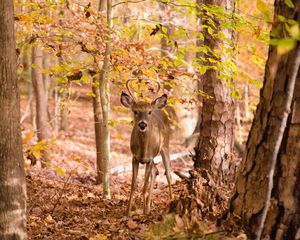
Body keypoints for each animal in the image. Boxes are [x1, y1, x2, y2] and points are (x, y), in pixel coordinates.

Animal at [120, 79, 172, 216]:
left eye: (149, 112)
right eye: (135, 111)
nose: (142, 124)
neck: (143, 150)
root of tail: (158, 108)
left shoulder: (150, 158)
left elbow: (144, 187)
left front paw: (144, 213)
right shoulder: (134, 158)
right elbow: (134, 186)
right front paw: (128, 211)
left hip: (165, 145)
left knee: (168, 175)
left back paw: (170, 200)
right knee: (155, 172)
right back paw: (149, 205)